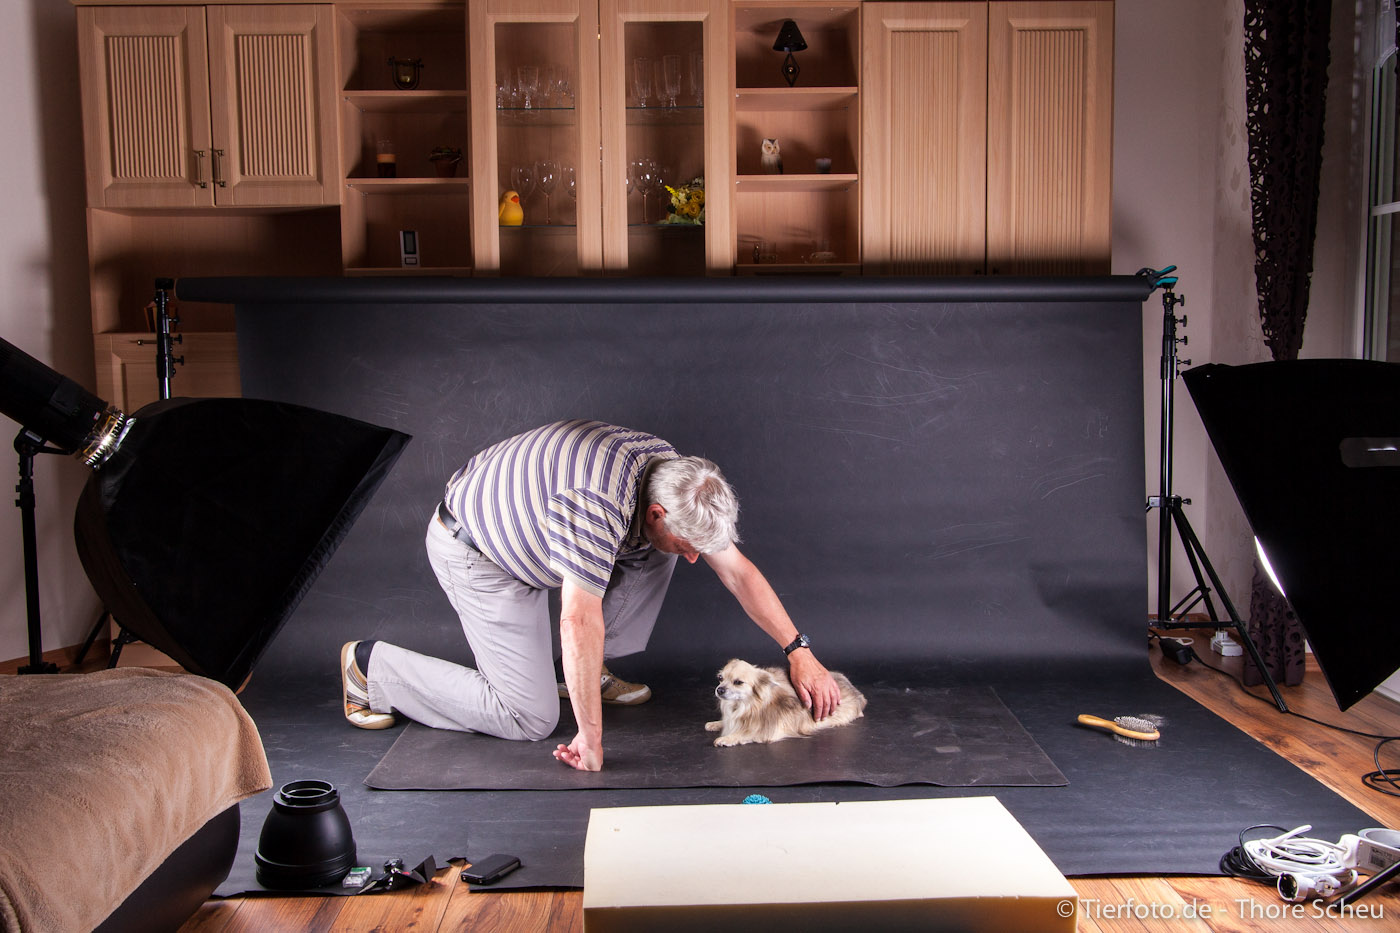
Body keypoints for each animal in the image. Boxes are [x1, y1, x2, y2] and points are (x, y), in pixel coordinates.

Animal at [711, 658, 862, 745]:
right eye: (720, 678)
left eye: (738, 682)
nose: (719, 689)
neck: (744, 705)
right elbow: (727, 722)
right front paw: (715, 724)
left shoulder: (767, 731)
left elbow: (744, 733)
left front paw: (726, 738)